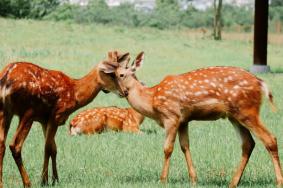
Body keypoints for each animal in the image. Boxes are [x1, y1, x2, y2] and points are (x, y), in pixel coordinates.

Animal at [0, 51, 130, 187]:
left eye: (120, 74)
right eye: (113, 75)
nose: (125, 92)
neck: (74, 93)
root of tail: (6, 79)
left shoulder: (44, 120)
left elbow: (53, 148)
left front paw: (55, 179)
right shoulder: (55, 115)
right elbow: (47, 148)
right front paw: (44, 180)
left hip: (5, 111)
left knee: (2, 143)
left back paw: (2, 183)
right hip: (28, 111)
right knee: (15, 145)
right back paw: (27, 183)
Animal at [100, 50, 283, 187]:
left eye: (120, 75)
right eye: (113, 74)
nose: (107, 90)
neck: (152, 99)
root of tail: (261, 84)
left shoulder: (171, 116)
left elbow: (167, 148)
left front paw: (163, 179)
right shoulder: (184, 120)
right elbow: (185, 146)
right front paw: (194, 179)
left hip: (247, 110)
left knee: (270, 139)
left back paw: (278, 181)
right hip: (234, 116)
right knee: (248, 144)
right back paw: (233, 182)